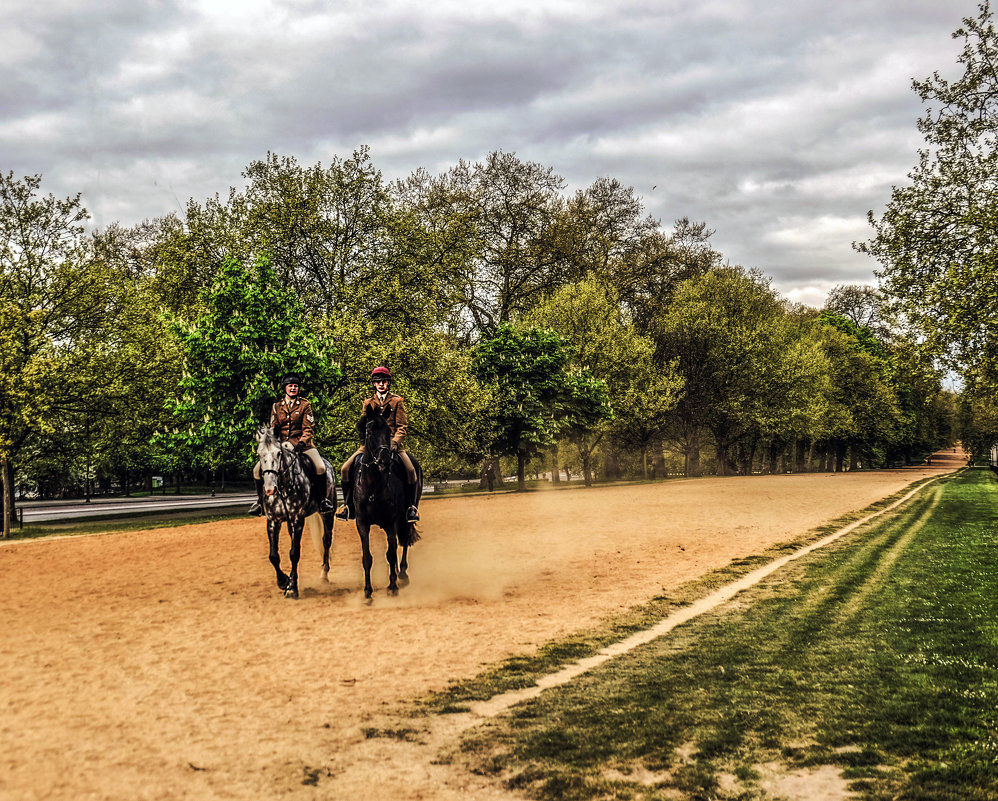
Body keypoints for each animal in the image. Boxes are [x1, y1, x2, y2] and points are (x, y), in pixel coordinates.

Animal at [256, 428, 338, 596]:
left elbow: (294, 553)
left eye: (279, 453)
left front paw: (292, 588)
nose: (269, 488)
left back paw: (324, 575)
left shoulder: (297, 520)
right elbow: (273, 556)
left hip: (328, 514)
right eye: (259, 454)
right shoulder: (273, 521)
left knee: (326, 541)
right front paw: (283, 581)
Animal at [348, 404, 422, 596]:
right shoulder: (362, 524)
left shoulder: (390, 521)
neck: (373, 484)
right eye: (370, 431)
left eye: (389, 431)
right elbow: (367, 557)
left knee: (403, 542)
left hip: (406, 516)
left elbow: (390, 553)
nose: (385, 460)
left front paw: (393, 586)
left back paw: (402, 574)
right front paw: (367, 591)